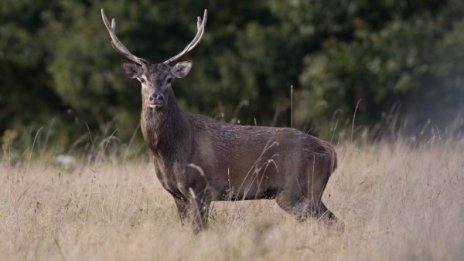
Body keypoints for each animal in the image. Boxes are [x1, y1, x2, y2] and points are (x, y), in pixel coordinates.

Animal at [101, 8, 338, 232]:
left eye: (169, 79)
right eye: (142, 79)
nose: (155, 97)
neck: (169, 151)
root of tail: (331, 152)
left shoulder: (201, 187)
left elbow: (199, 229)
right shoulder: (177, 194)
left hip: (298, 190)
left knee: (333, 222)